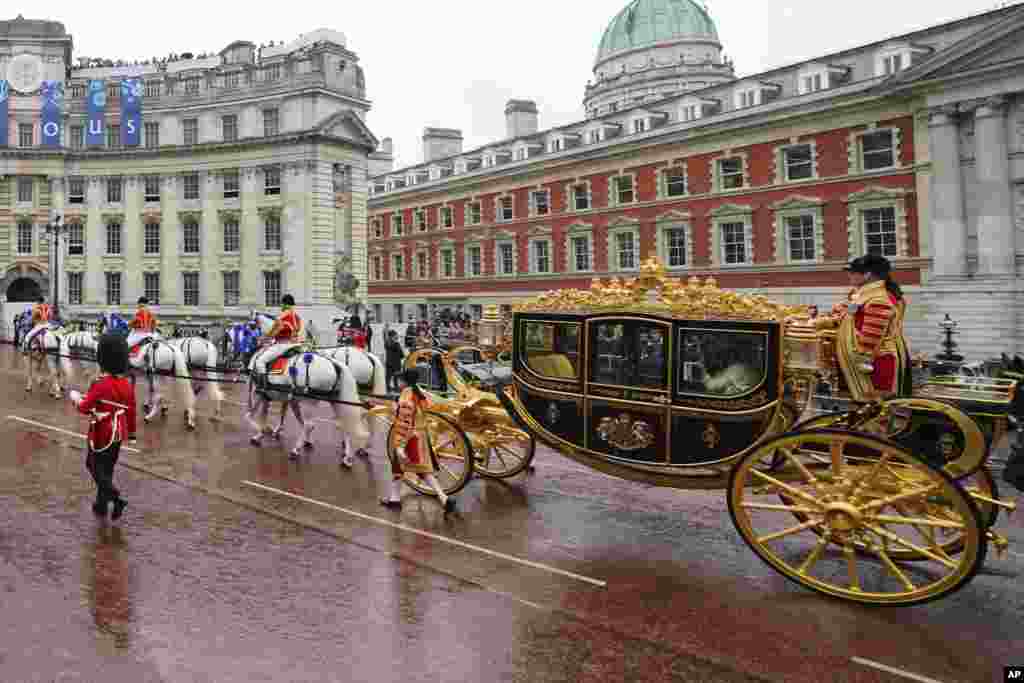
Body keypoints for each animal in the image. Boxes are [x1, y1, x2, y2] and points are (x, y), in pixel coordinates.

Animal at [243, 313, 368, 464]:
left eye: (251, 326)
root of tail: (334, 364)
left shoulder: (260, 394)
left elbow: (251, 415)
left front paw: (259, 432)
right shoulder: (287, 398)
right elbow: (287, 417)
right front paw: (265, 432)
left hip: (310, 402)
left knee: (310, 425)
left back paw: (295, 450)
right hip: (334, 401)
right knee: (344, 423)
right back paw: (347, 457)